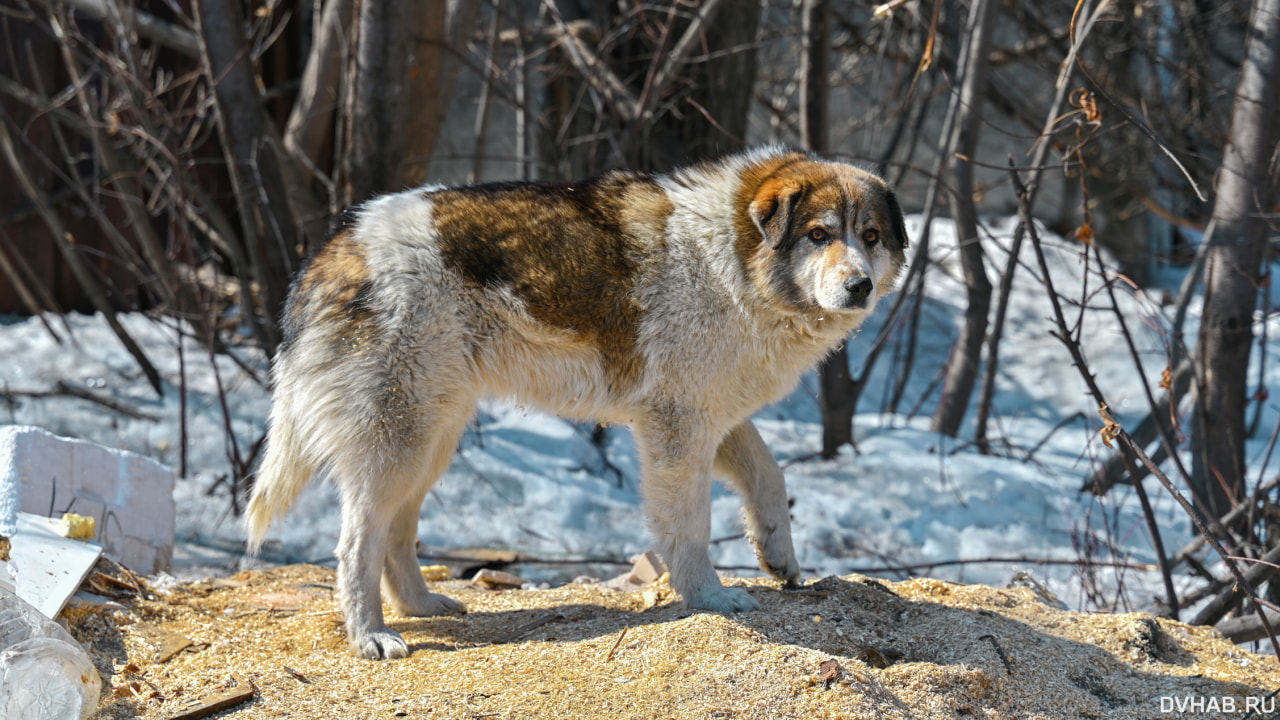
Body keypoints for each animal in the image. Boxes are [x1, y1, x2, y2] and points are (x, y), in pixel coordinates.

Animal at [244, 146, 911, 655]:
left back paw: (422, 605)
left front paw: (779, 558)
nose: (860, 286)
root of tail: (335, 245)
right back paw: (371, 637)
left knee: (396, 536)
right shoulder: (679, 428)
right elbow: (690, 529)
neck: (734, 258)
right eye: (819, 235)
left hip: (430, 440)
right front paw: (711, 598)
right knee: (356, 543)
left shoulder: (716, 418)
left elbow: (770, 478)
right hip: (400, 442)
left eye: (870, 237)